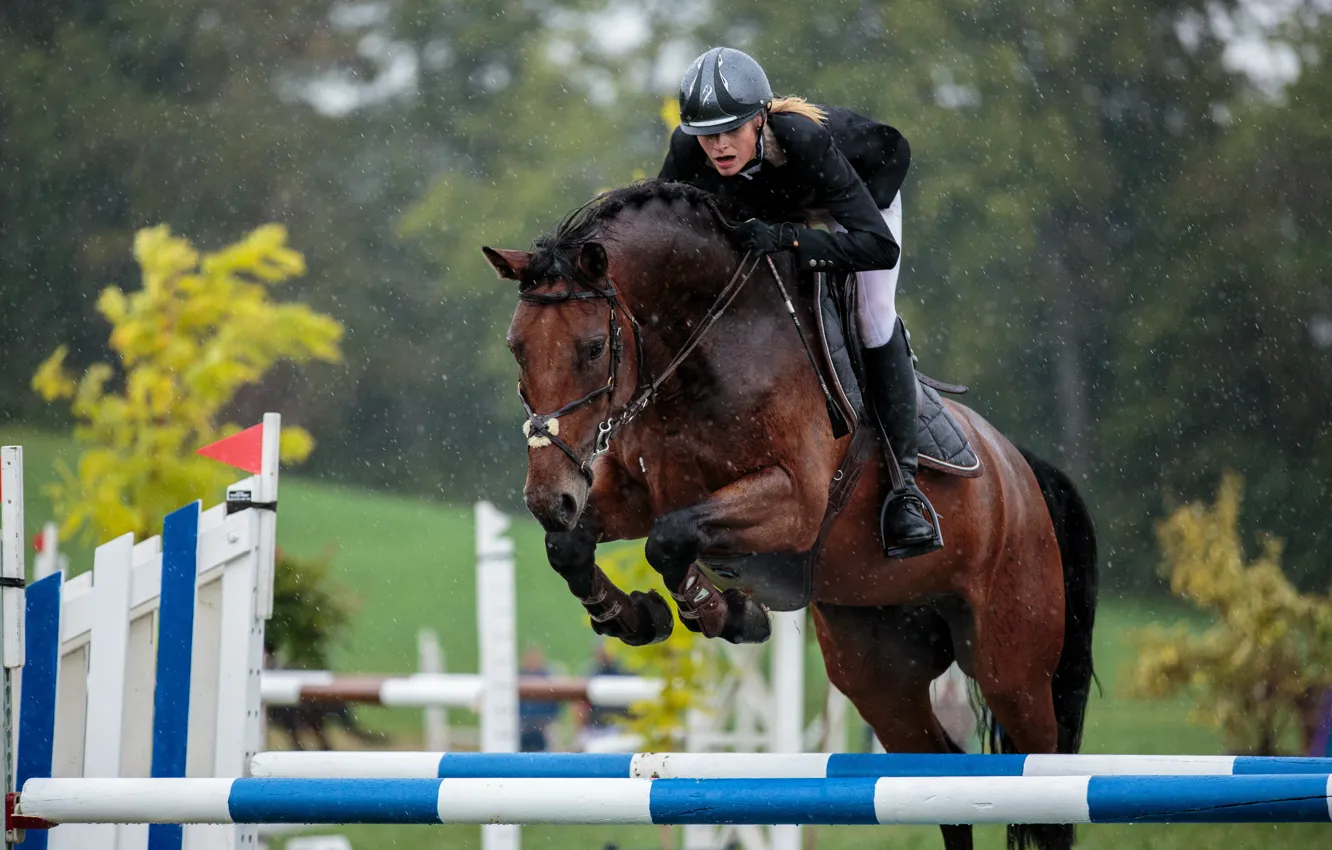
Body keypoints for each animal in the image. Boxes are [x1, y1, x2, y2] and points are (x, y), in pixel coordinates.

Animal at [482, 180, 1098, 850]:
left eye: (593, 348)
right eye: (515, 349)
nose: (548, 500)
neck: (705, 344)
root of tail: (1024, 472)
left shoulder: (793, 503)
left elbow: (669, 540)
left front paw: (724, 612)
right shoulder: (633, 494)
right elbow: (572, 547)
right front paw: (634, 616)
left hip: (1012, 667)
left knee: (1044, 780)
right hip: (879, 668)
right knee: (939, 777)